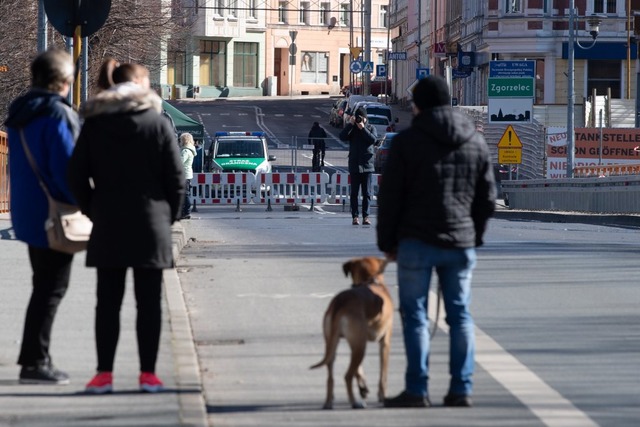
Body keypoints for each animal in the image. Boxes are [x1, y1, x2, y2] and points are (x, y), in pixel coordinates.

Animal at [308, 256, 392, 410]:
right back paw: (355, 402)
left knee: (331, 376)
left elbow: (359, 369)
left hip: (335, 345)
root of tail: (339, 303)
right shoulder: (385, 342)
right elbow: (383, 374)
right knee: (347, 376)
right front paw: (382, 395)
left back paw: (329, 402)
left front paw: (363, 387)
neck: (370, 281)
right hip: (360, 346)